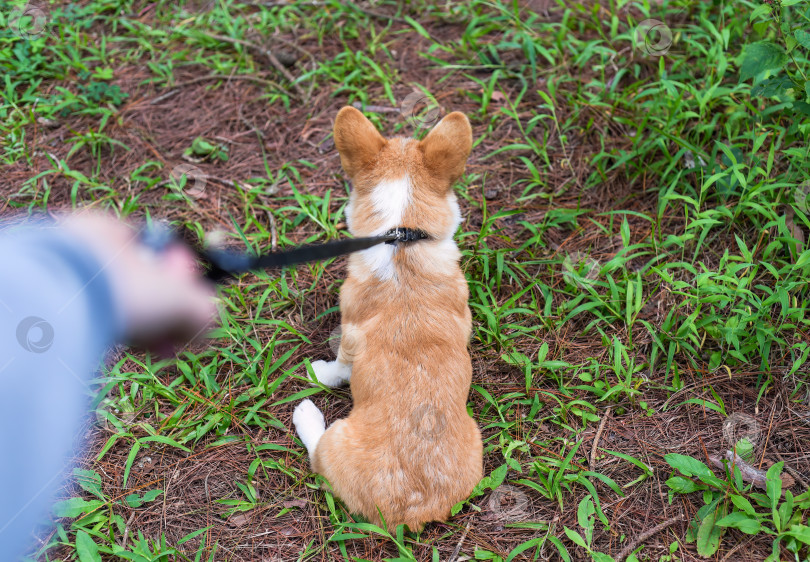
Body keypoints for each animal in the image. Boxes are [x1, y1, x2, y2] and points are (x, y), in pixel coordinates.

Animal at [290, 105, 480, 528]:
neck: (401, 236)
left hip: (335, 443)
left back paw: (307, 414)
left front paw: (320, 373)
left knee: (317, 453)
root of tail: (410, 508)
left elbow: (339, 367)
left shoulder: (349, 336)